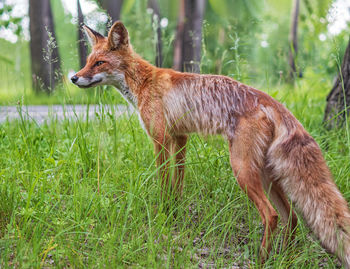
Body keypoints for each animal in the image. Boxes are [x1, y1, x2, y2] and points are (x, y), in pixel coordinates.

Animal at [70, 21, 350, 266]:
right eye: (87, 62)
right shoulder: (180, 138)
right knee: (291, 218)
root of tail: (268, 100)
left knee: (271, 216)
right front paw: (174, 214)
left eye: (99, 63)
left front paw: (162, 214)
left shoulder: (160, 139)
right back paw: (284, 260)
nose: (73, 78)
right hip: (266, 175)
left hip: (242, 170)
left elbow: (164, 181)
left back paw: (261, 260)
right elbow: (178, 183)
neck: (145, 81)